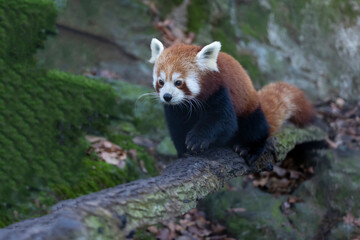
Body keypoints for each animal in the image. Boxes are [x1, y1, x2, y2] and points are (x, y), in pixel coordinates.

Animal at [148, 38, 314, 164]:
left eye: (178, 82)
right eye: (161, 82)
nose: (167, 96)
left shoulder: (219, 91)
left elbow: (224, 121)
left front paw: (197, 139)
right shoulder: (176, 110)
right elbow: (177, 127)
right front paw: (183, 151)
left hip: (250, 109)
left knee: (257, 127)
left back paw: (248, 148)